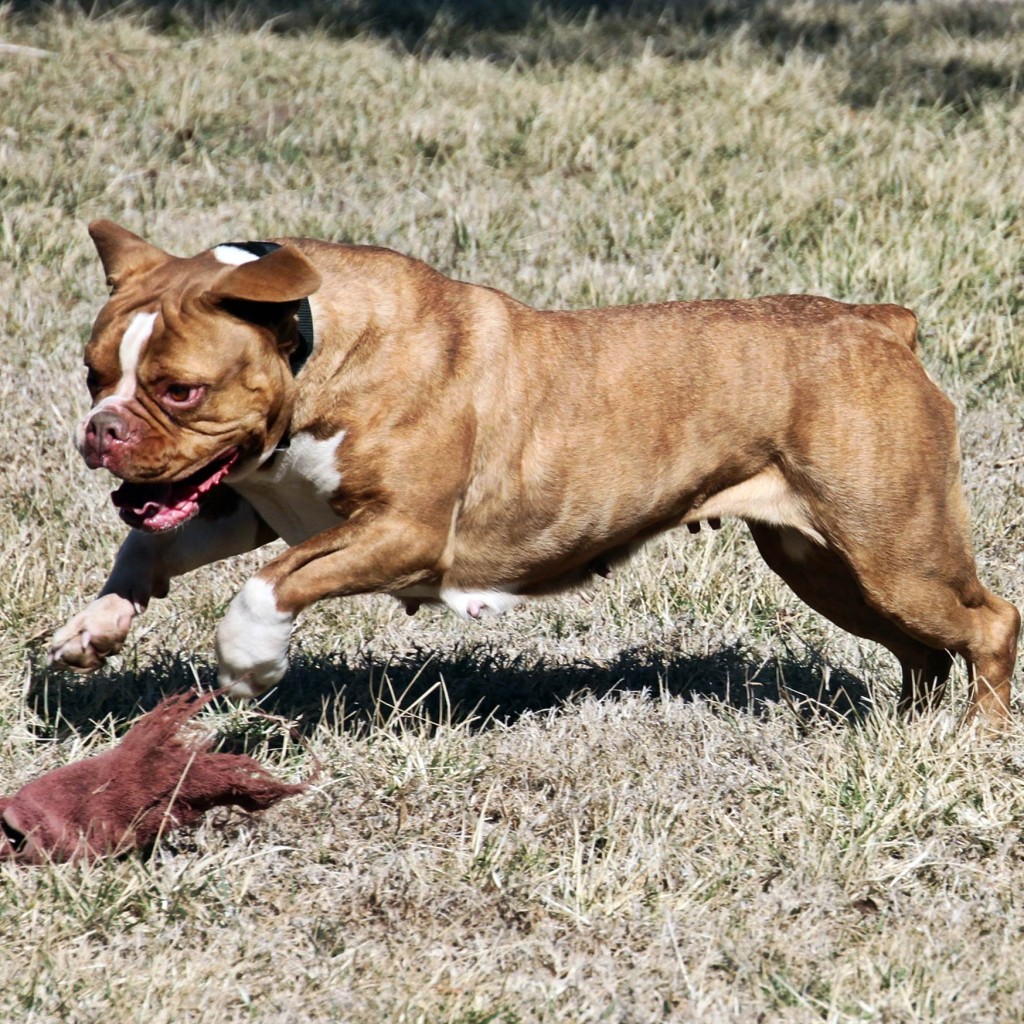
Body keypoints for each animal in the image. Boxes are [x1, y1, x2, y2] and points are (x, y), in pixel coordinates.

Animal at [49, 220, 1015, 724]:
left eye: (180, 389)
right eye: (93, 375)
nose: (100, 431)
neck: (311, 346)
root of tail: (881, 322)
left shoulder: (403, 532)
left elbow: (268, 584)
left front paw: (249, 666)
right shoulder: (257, 504)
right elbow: (150, 551)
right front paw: (92, 629)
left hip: (892, 548)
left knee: (989, 624)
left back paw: (973, 741)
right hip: (823, 560)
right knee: (923, 647)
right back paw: (911, 730)